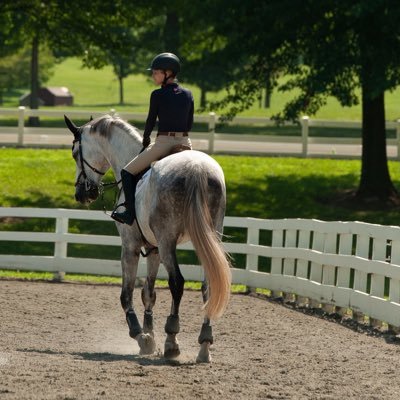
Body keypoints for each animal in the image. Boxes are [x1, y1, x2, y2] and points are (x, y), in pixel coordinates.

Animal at [63, 113, 231, 362]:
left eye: (75, 153)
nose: (82, 193)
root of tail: (196, 168)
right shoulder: (153, 249)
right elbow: (148, 293)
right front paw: (150, 337)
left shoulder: (130, 246)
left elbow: (126, 294)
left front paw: (140, 335)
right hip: (208, 238)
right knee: (208, 285)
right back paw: (204, 345)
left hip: (168, 240)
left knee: (177, 282)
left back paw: (172, 341)